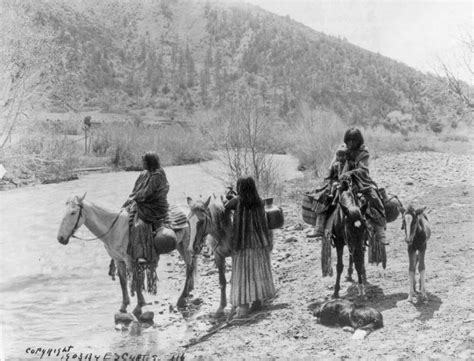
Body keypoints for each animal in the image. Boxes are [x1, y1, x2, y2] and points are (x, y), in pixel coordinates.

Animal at [56, 194, 197, 316]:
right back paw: (189, 290)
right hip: (179, 246)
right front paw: (124, 306)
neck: (113, 229)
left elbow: (135, 279)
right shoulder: (118, 260)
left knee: (190, 266)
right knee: (190, 264)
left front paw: (139, 306)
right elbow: (123, 281)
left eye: (73, 212)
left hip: (185, 245)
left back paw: (182, 297)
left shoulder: (129, 260)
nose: (61, 238)